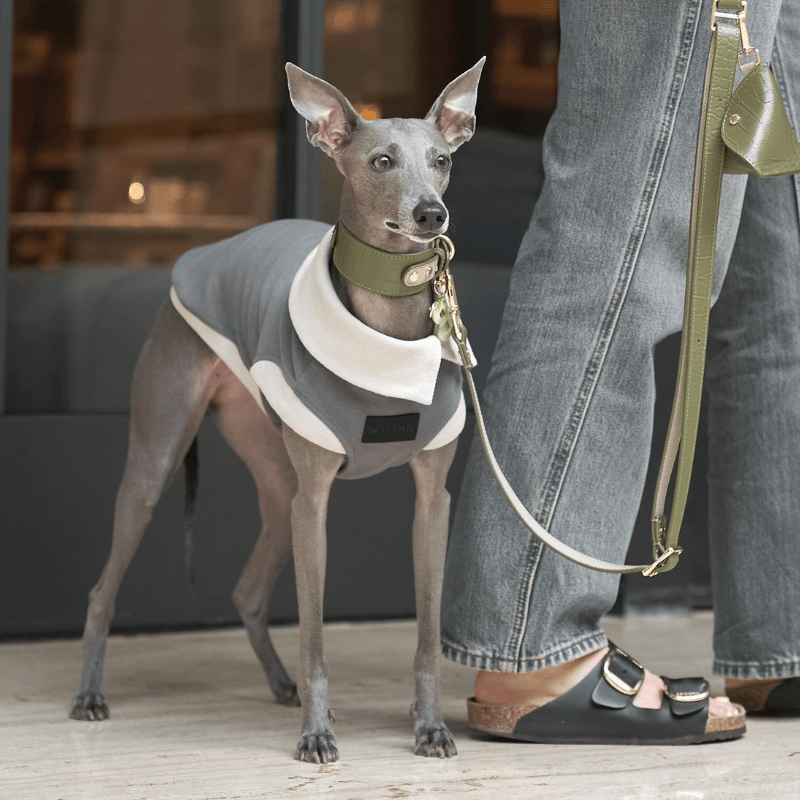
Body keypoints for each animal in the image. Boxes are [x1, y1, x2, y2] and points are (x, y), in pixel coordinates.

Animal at [69, 57, 484, 764]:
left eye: (443, 159)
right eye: (381, 161)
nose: (432, 214)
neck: (386, 331)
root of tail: (202, 254)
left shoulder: (432, 499)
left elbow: (428, 636)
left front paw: (429, 725)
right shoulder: (314, 502)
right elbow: (314, 634)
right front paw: (317, 734)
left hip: (274, 479)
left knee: (246, 589)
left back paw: (280, 685)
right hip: (160, 456)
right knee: (102, 588)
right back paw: (91, 695)